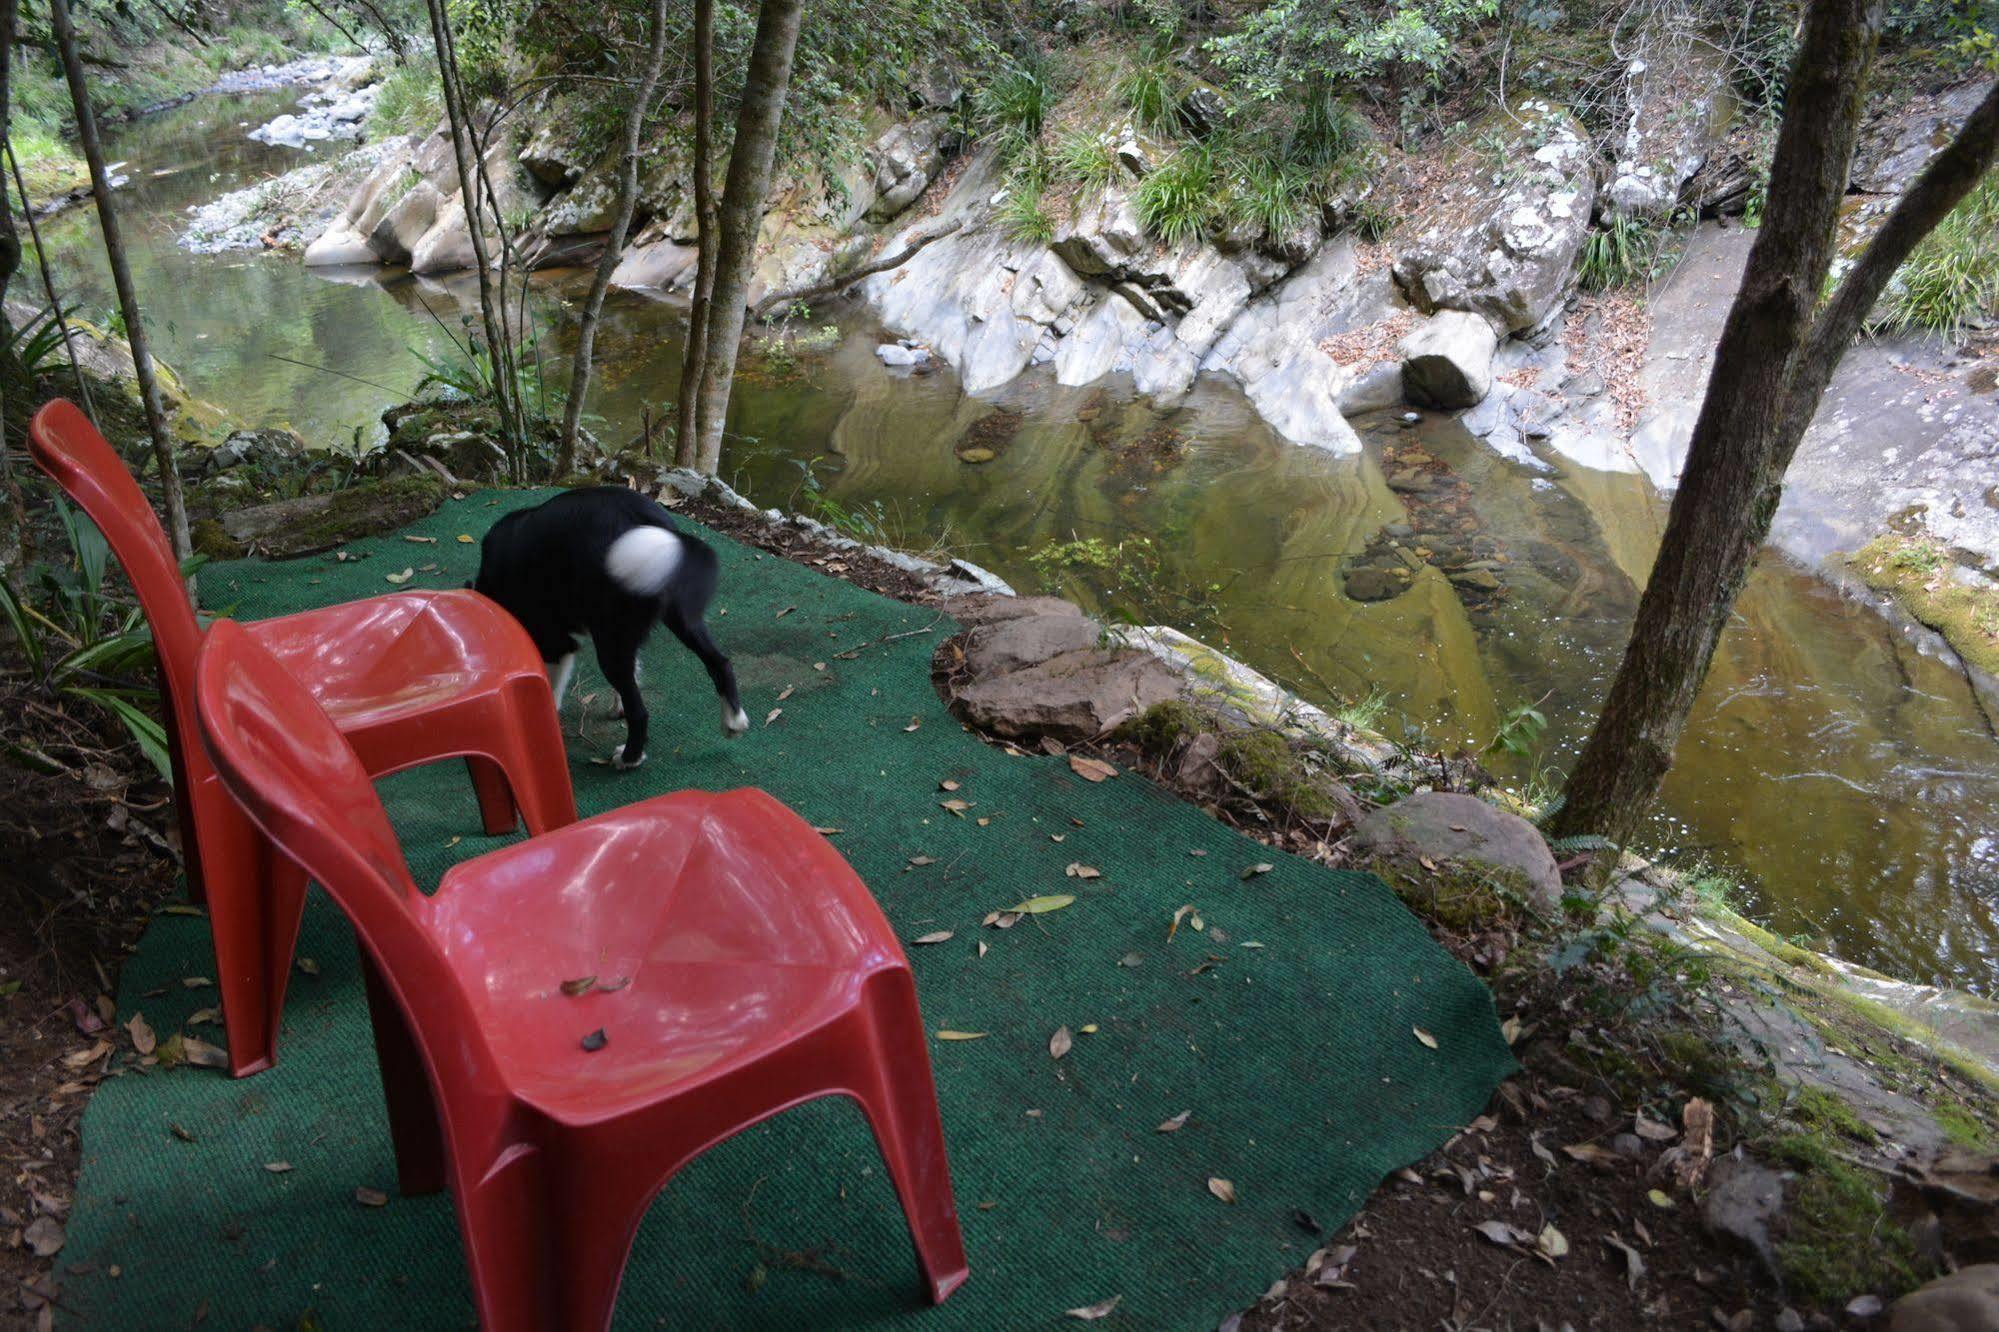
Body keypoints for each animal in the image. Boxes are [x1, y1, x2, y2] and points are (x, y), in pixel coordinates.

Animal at [473, 488, 751, 764]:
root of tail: (650, 521)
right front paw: (618, 707)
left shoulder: (556, 642)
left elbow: (550, 689)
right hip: (679, 617)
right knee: (720, 663)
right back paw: (734, 721)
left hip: (610, 641)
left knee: (640, 711)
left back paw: (628, 758)